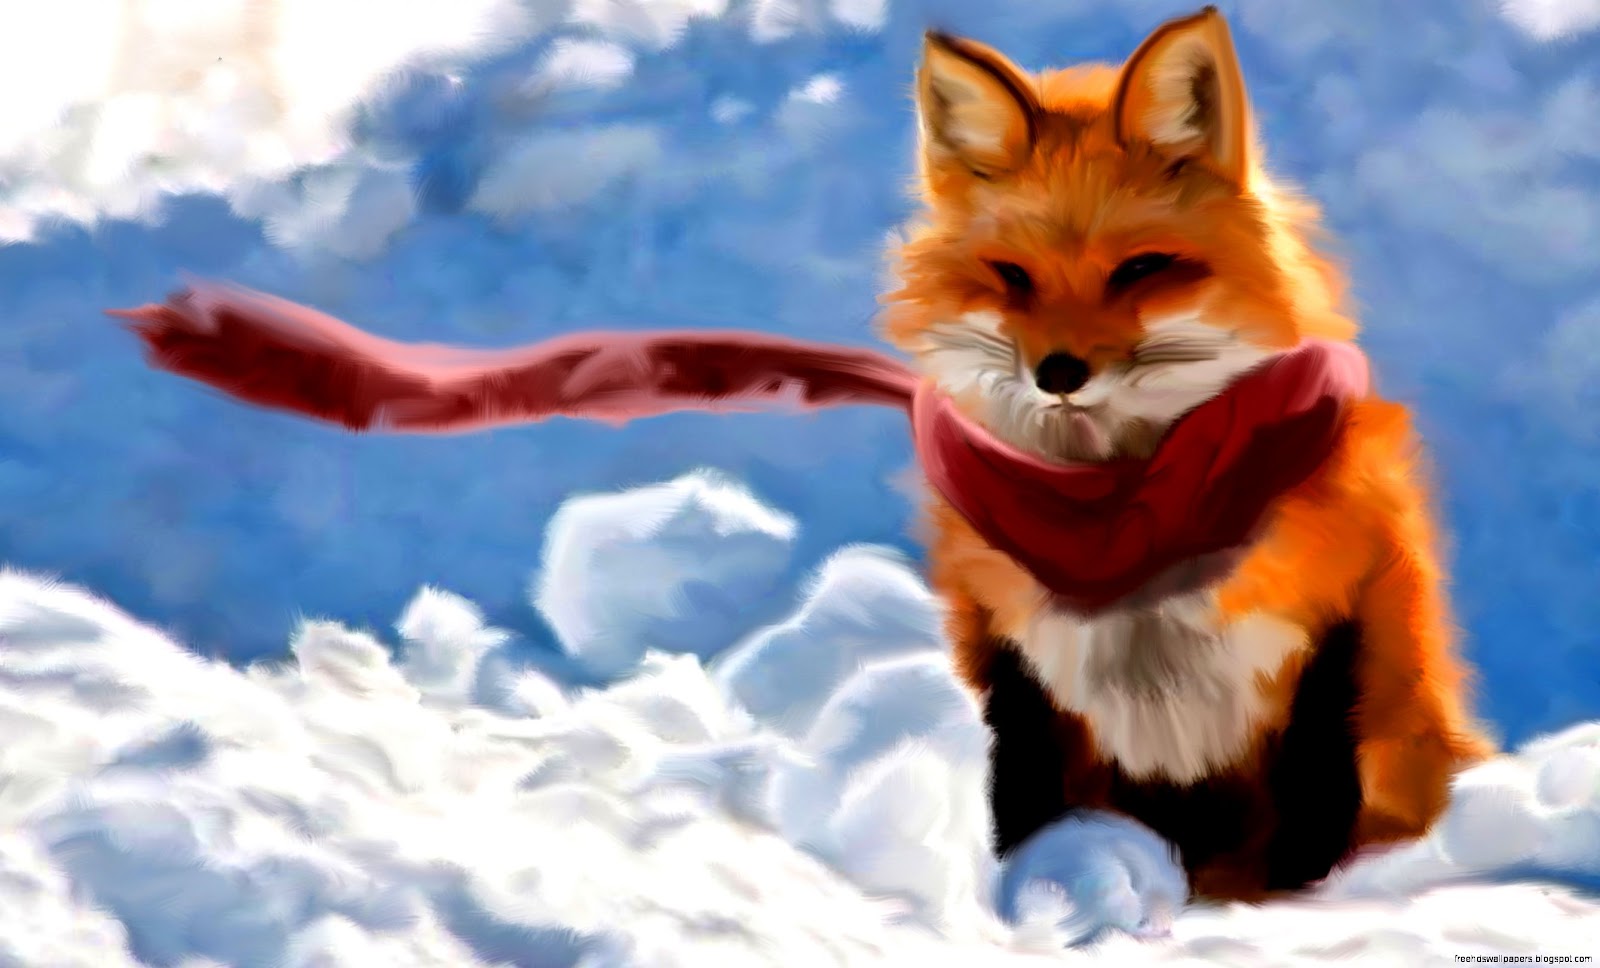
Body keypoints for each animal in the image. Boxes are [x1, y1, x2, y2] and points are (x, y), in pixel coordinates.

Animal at [878, 7, 1497, 902]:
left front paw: (1294, 910)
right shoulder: (1014, 660)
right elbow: (1027, 809)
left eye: (1141, 270)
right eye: (1013, 277)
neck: (1123, 515)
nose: (1057, 373)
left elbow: (1310, 822)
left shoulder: (1335, 635)